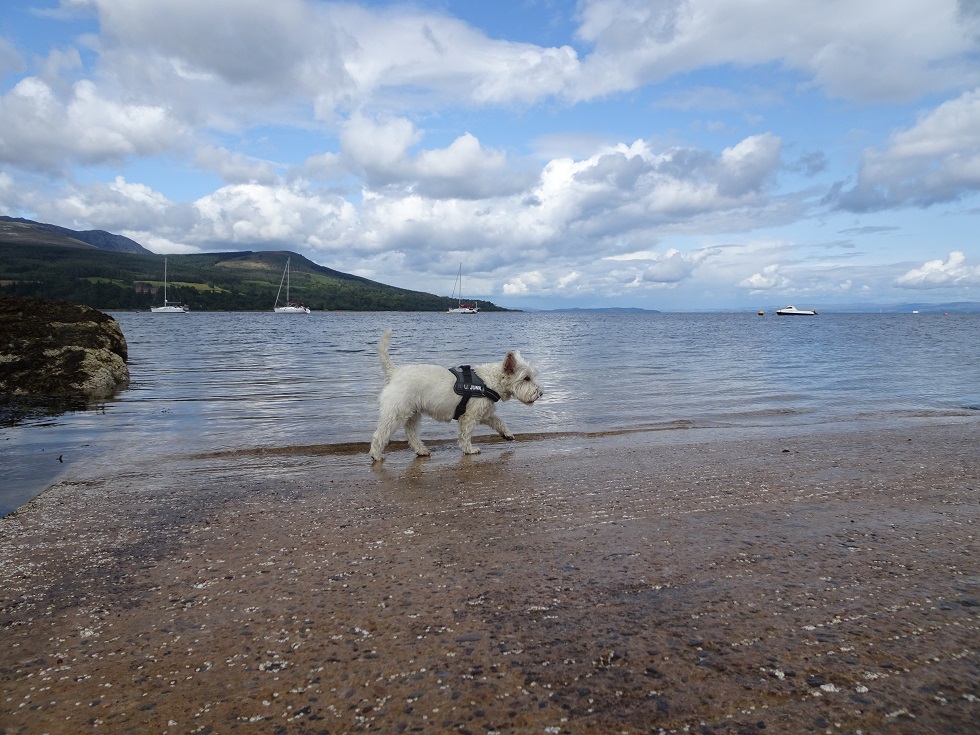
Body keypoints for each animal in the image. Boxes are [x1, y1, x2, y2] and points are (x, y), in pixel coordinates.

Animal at [370, 330, 544, 462]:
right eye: (526, 378)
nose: (541, 393)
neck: (488, 381)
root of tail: (395, 372)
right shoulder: (470, 416)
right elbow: (465, 435)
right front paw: (469, 450)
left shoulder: (484, 413)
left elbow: (498, 421)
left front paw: (507, 434)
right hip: (396, 412)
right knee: (380, 434)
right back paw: (376, 455)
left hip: (413, 413)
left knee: (411, 434)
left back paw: (421, 450)